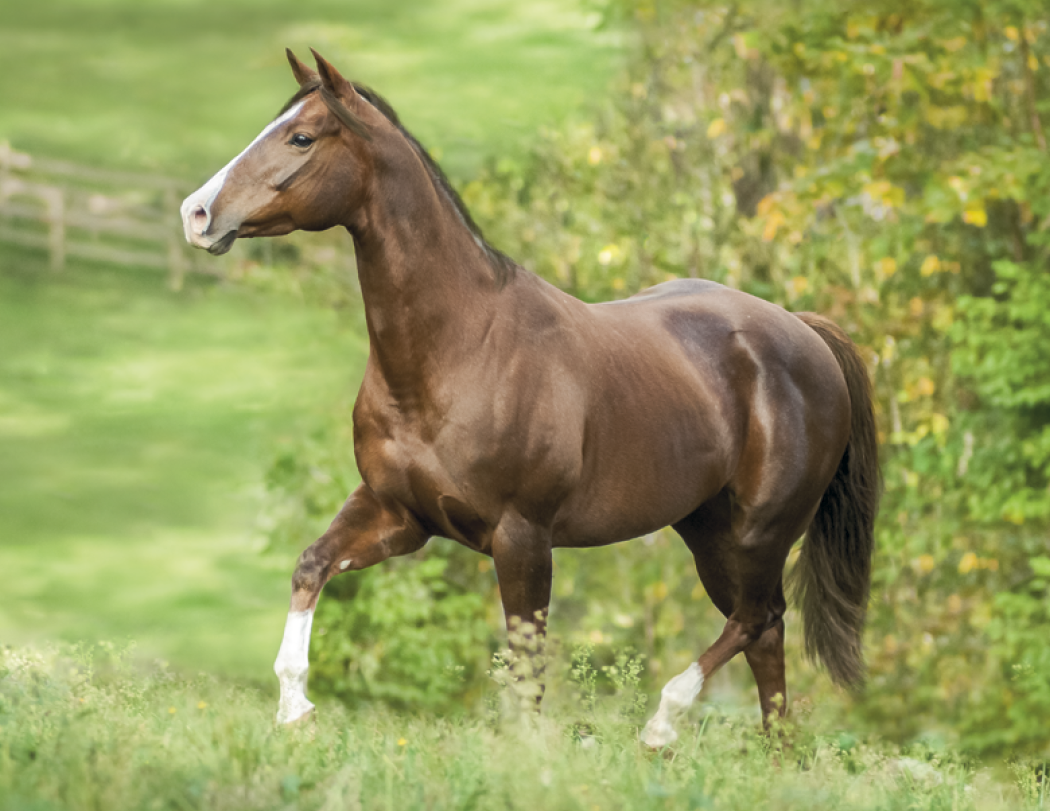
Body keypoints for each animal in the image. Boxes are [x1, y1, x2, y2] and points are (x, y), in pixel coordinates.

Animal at [180, 49, 879, 747]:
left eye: (301, 137)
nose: (197, 214)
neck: (460, 351)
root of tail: (802, 332)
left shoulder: (523, 538)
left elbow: (526, 670)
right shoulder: (397, 515)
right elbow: (311, 565)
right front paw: (294, 706)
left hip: (761, 531)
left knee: (756, 618)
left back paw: (663, 724)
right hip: (708, 531)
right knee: (764, 633)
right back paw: (773, 754)